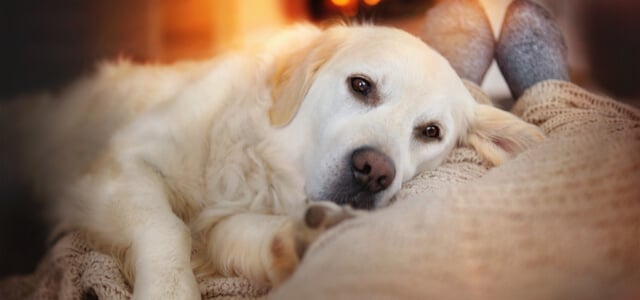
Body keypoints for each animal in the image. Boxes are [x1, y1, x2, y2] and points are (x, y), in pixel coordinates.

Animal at [1, 24, 544, 298]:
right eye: (361, 85)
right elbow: (167, 228)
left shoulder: (227, 223)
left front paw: (303, 237)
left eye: (430, 132)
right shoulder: (120, 165)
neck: (262, 163)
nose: (374, 171)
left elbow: (238, 235)